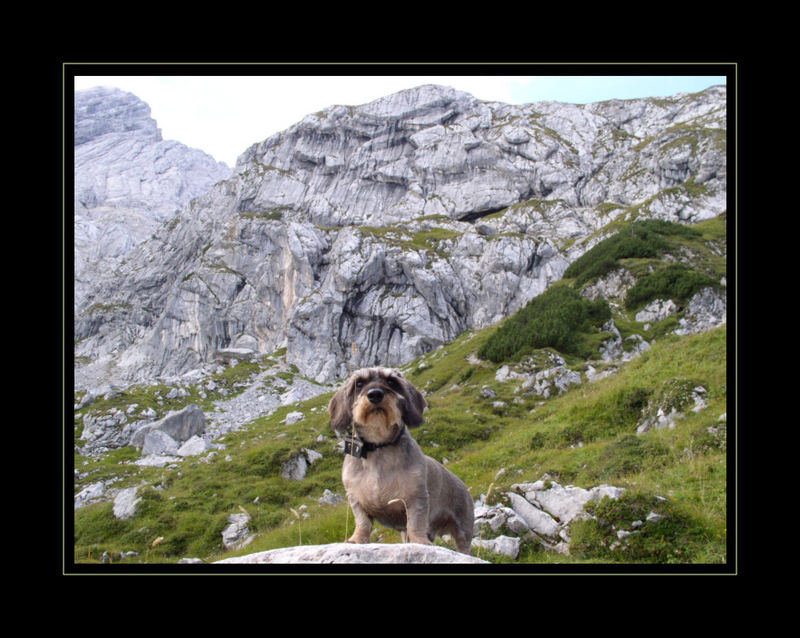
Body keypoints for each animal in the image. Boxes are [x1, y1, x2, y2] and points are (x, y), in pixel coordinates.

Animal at [330, 370, 476, 556]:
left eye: (392, 382)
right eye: (360, 383)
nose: (375, 394)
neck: (379, 448)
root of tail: (462, 484)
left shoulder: (416, 499)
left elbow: (416, 523)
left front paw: (420, 542)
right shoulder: (356, 499)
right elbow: (363, 523)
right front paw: (357, 539)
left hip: (463, 530)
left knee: (463, 545)